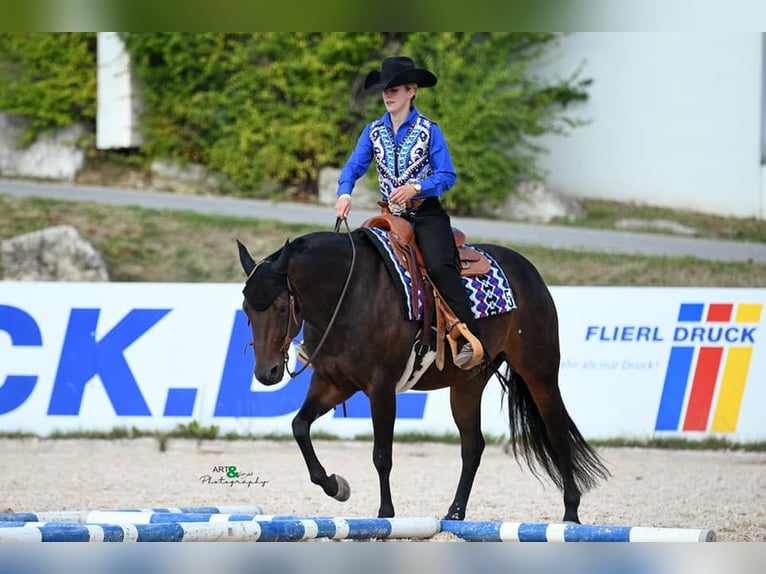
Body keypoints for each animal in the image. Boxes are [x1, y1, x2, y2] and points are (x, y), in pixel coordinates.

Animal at [236, 226, 609, 523]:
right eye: (246, 309)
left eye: (281, 307)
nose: (267, 372)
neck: (349, 295)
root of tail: (529, 270)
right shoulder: (334, 382)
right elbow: (299, 426)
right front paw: (335, 485)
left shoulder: (381, 387)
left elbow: (382, 455)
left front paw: (386, 514)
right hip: (468, 383)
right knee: (473, 446)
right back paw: (455, 513)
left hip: (540, 370)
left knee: (556, 432)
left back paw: (571, 512)